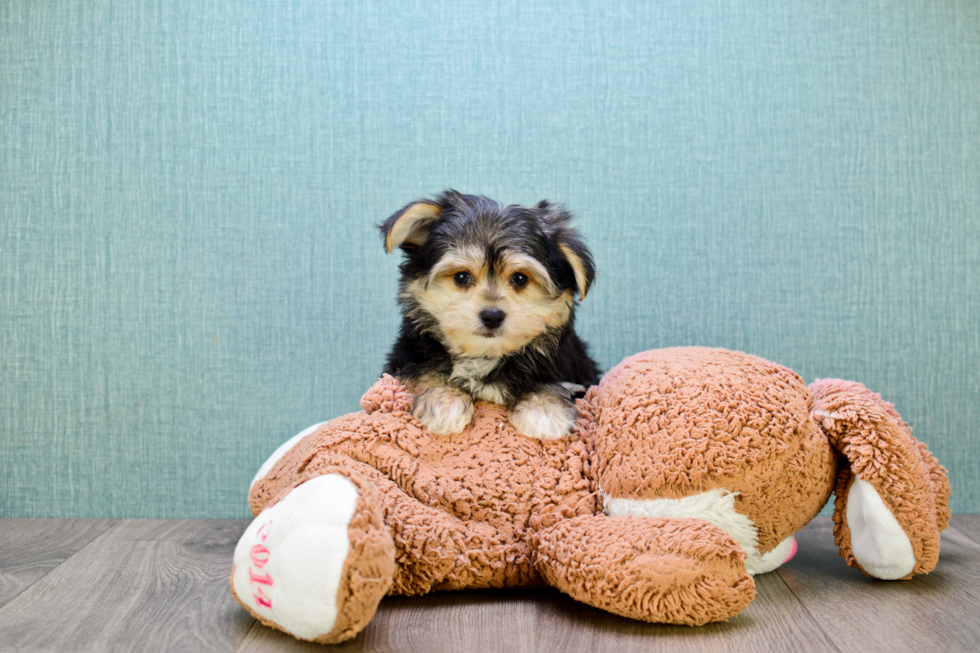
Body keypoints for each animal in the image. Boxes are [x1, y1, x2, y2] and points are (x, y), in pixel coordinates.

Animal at [378, 191, 600, 440]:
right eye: (462, 277)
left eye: (520, 278)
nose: (492, 316)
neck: (484, 355)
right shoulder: (407, 355)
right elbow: (425, 370)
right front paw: (444, 400)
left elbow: (548, 377)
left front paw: (543, 409)